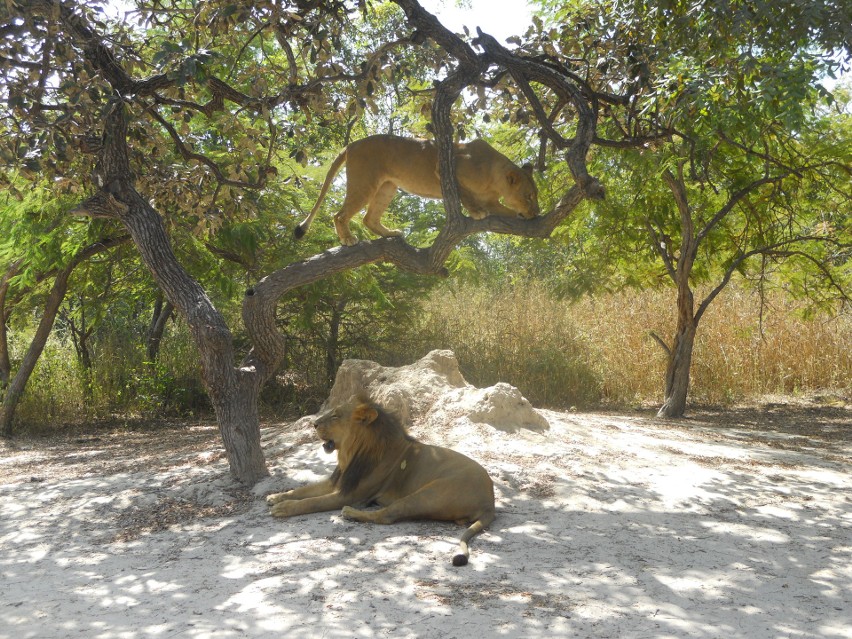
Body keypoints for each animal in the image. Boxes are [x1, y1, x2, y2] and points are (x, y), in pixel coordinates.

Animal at [264, 398, 492, 568]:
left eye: (336, 415)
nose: (314, 424)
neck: (351, 454)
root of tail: (490, 500)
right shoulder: (337, 482)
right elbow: (303, 490)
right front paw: (276, 496)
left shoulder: (350, 495)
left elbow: (311, 502)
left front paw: (282, 508)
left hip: (427, 493)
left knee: (387, 516)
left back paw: (350, 513)